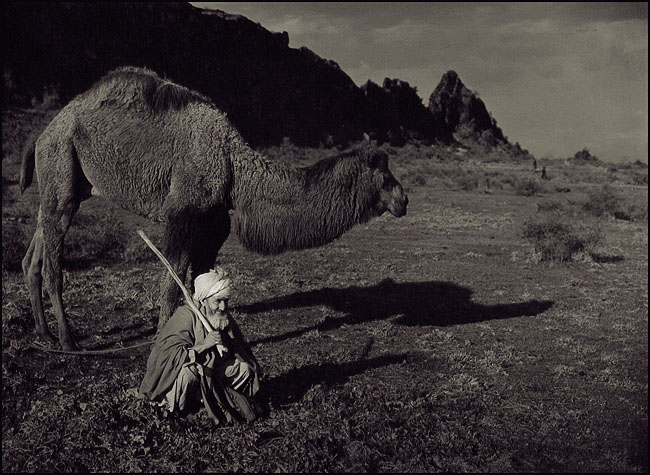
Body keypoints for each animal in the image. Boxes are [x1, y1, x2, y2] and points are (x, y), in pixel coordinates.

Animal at [20, 65, 408, 352]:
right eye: (385, 175)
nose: (404, 200)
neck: (233, 168)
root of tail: (41, 134)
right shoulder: (183, 213)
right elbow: (173, 281)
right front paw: (163, 342)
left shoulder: (214, 223)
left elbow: (204, 282)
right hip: (61, 161)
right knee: (54, 260)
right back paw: (68, 341)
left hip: (65, 182)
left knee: (35, 251)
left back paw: (43, 333)